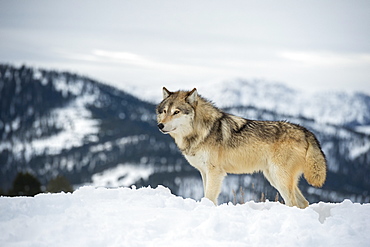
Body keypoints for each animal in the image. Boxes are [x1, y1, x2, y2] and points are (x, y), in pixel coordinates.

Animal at [156, 88, 326, 207]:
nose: (160, 125)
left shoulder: (215, 172)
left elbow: (209, 197)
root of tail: (305, 130)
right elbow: (208, 196)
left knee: (293, 203)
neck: (202, 130)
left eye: (176, 112)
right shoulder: (204, 172)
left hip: (279, 177)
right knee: (303, 203)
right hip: (274, 177)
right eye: (164, 111)